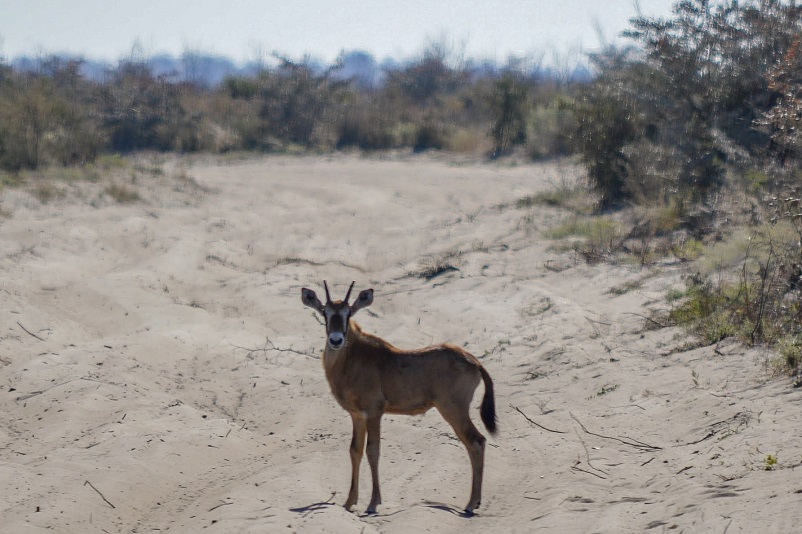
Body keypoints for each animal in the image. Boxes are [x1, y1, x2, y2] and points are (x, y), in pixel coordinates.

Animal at [300, 282, 494, 516]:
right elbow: (355, 450)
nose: (336, 340)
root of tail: (474, 361)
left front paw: (373, 503)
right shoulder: (357, 416)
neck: (352, 358)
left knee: (476, 442)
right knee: (477, 442)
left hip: (453, 410)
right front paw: (349, 502)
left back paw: (471, 504)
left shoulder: (374, 412)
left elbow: (372, 450)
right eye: (325, 313)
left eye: (348, 313)